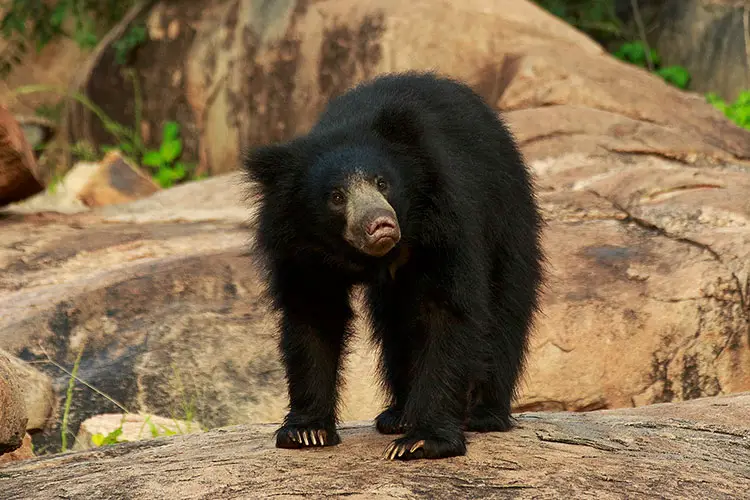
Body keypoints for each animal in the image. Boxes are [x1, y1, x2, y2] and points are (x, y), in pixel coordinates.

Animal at [244, 70, 544, 460]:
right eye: (336, 197)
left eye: (382, 182)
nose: (381, 225)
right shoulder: (297, 247)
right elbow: (314, 313)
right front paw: (305, 432)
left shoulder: (444, 221)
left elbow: (445, 312)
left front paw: (423, 441)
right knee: (397, 325)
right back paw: (397, 415)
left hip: (508, 213)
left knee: (506, 306)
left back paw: (484, 413)